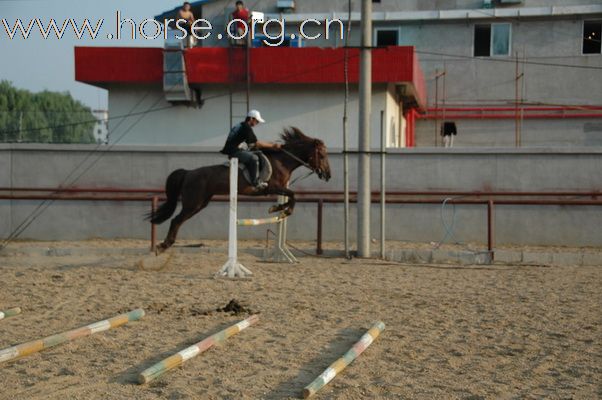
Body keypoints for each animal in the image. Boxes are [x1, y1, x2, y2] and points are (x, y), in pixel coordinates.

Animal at [147, 127, 330, 253]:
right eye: (321, 155)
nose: (328, 175)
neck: (282, 161)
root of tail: (188, 173)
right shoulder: (273, 188)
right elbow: (293, 196)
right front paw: (282, 210)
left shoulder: (280, 189)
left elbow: (291, 197)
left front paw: (277, 208)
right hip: (193, 204)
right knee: (176, 220)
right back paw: (163, 246)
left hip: (200, 204)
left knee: (178, 220)